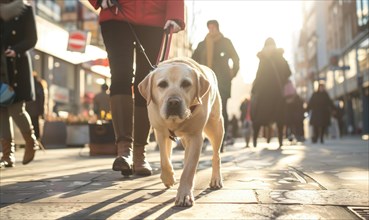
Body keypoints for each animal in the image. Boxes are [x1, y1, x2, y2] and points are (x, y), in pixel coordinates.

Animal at [138, 56, 223, 206]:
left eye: (186, 83)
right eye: (162, 84)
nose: (173, 102)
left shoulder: (195, 137)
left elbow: (189, 169)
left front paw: (184, 194)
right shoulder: (160, 132)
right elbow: (164, 159)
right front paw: (168, 178)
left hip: (215, 127)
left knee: (216, 155)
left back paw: (216, 179)